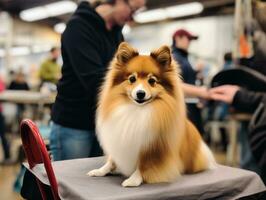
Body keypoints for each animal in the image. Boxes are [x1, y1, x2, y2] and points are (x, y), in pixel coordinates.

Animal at [88, 42, 216, 188]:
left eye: (152, 81)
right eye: (132, 79)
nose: (140, 93)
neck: (137, 110)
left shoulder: (151, 148)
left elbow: (143, 165)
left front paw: (133, 180)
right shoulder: (119, 141)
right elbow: (111, 160)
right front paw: (100, 171)